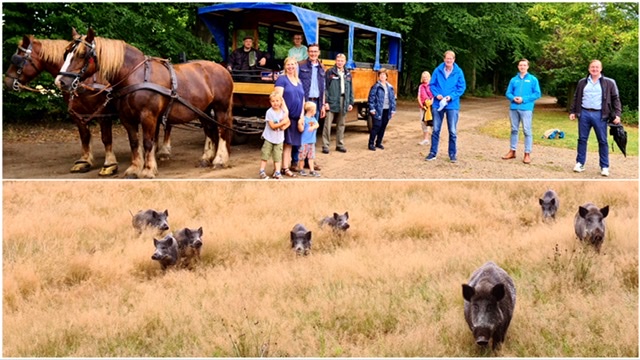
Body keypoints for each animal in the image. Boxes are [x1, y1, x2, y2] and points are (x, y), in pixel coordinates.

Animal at [52, 27, 232, 179]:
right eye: (66, 54)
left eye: (82, 54)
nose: (60, 82)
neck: (135, 76)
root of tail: (222, 68)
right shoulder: (127, 118)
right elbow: (134, 142)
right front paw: (134, 169)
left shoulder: (148, 116)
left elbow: (147, 142)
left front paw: (148, 170)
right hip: (203, 110)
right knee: (210, 130)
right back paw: (206, 158)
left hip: (221, 108)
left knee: (222, 130)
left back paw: (219, 160)